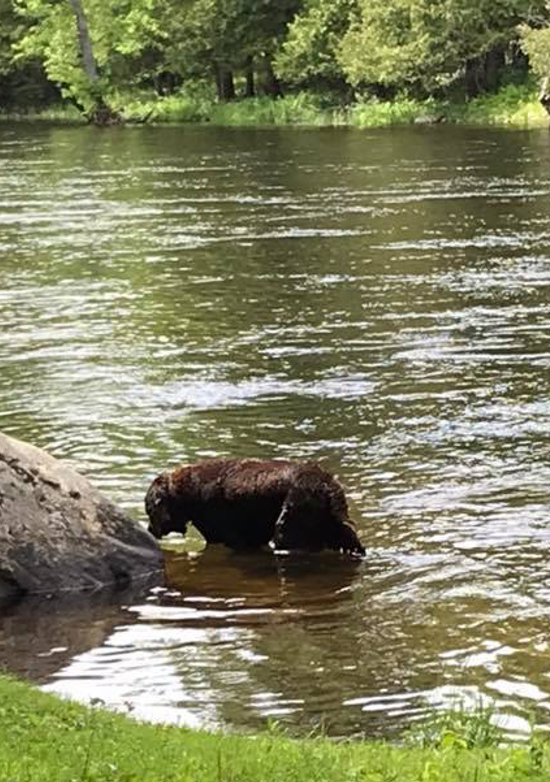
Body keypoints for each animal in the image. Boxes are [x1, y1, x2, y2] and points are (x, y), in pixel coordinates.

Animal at [146, 456, 366, 560]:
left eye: (149, 511)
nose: (149, 529)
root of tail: (326, 485)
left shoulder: (223, 536)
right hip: (338, 527)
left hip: (287, 527)